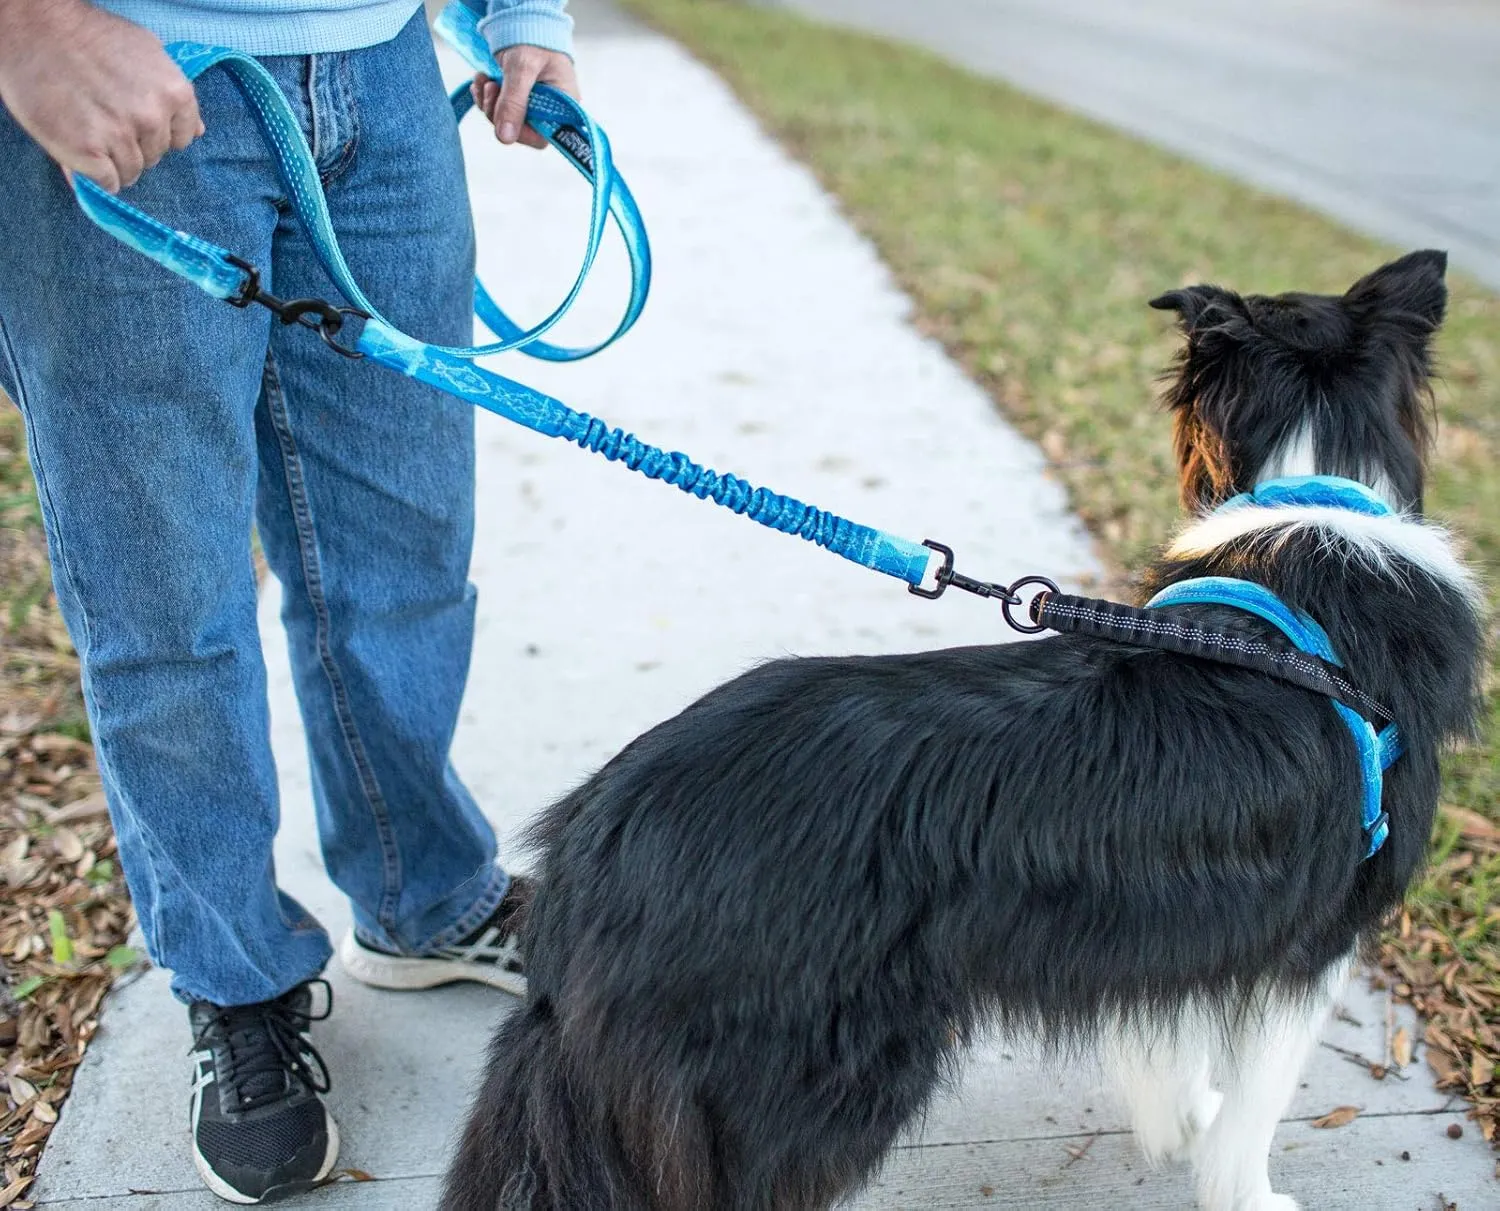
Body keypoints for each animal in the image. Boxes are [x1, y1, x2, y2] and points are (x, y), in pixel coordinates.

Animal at [438, 250, 1482, 1206]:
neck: (1315, 499)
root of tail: (597, 842)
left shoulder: (1189, 921)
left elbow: (1173, 1041)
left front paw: (1180, 1121)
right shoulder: (1316, 937)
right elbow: (1258, 1105)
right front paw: (1248, 1190)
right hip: (803, 1077)